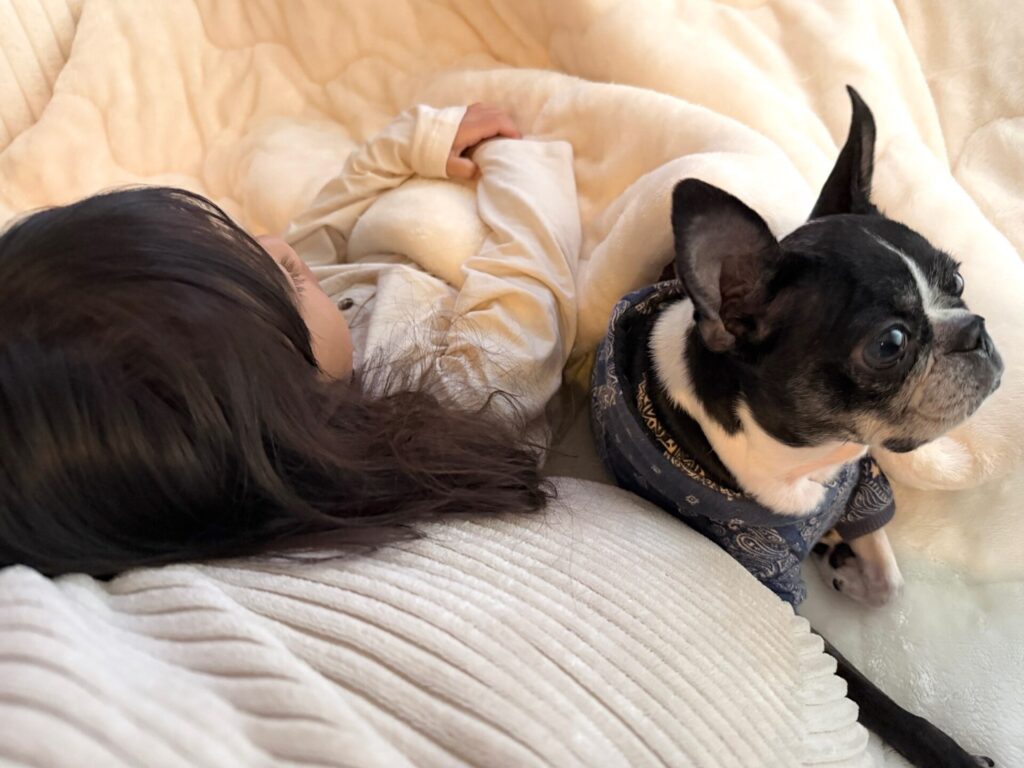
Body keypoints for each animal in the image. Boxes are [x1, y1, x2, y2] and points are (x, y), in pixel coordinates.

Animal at [591, 87, 1002, 767]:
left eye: (960, 280)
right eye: (889, 344)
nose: (976, 330)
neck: (810, 461)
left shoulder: (864, 479)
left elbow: (889, 580)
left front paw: (845, 560)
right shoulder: (773, 587)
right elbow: (871, 695)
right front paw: (950, 752)